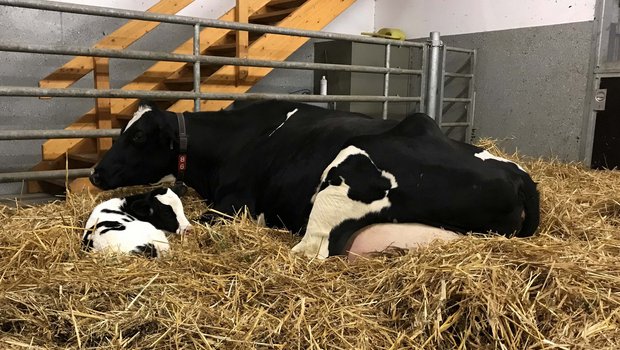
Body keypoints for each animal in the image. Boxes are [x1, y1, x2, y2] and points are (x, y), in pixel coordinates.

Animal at [88, 100, 536, 258]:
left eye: (138, 137)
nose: (94, 172)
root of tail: (517, 174)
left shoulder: (233, 206)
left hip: (343, 176)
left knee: (313, 250)